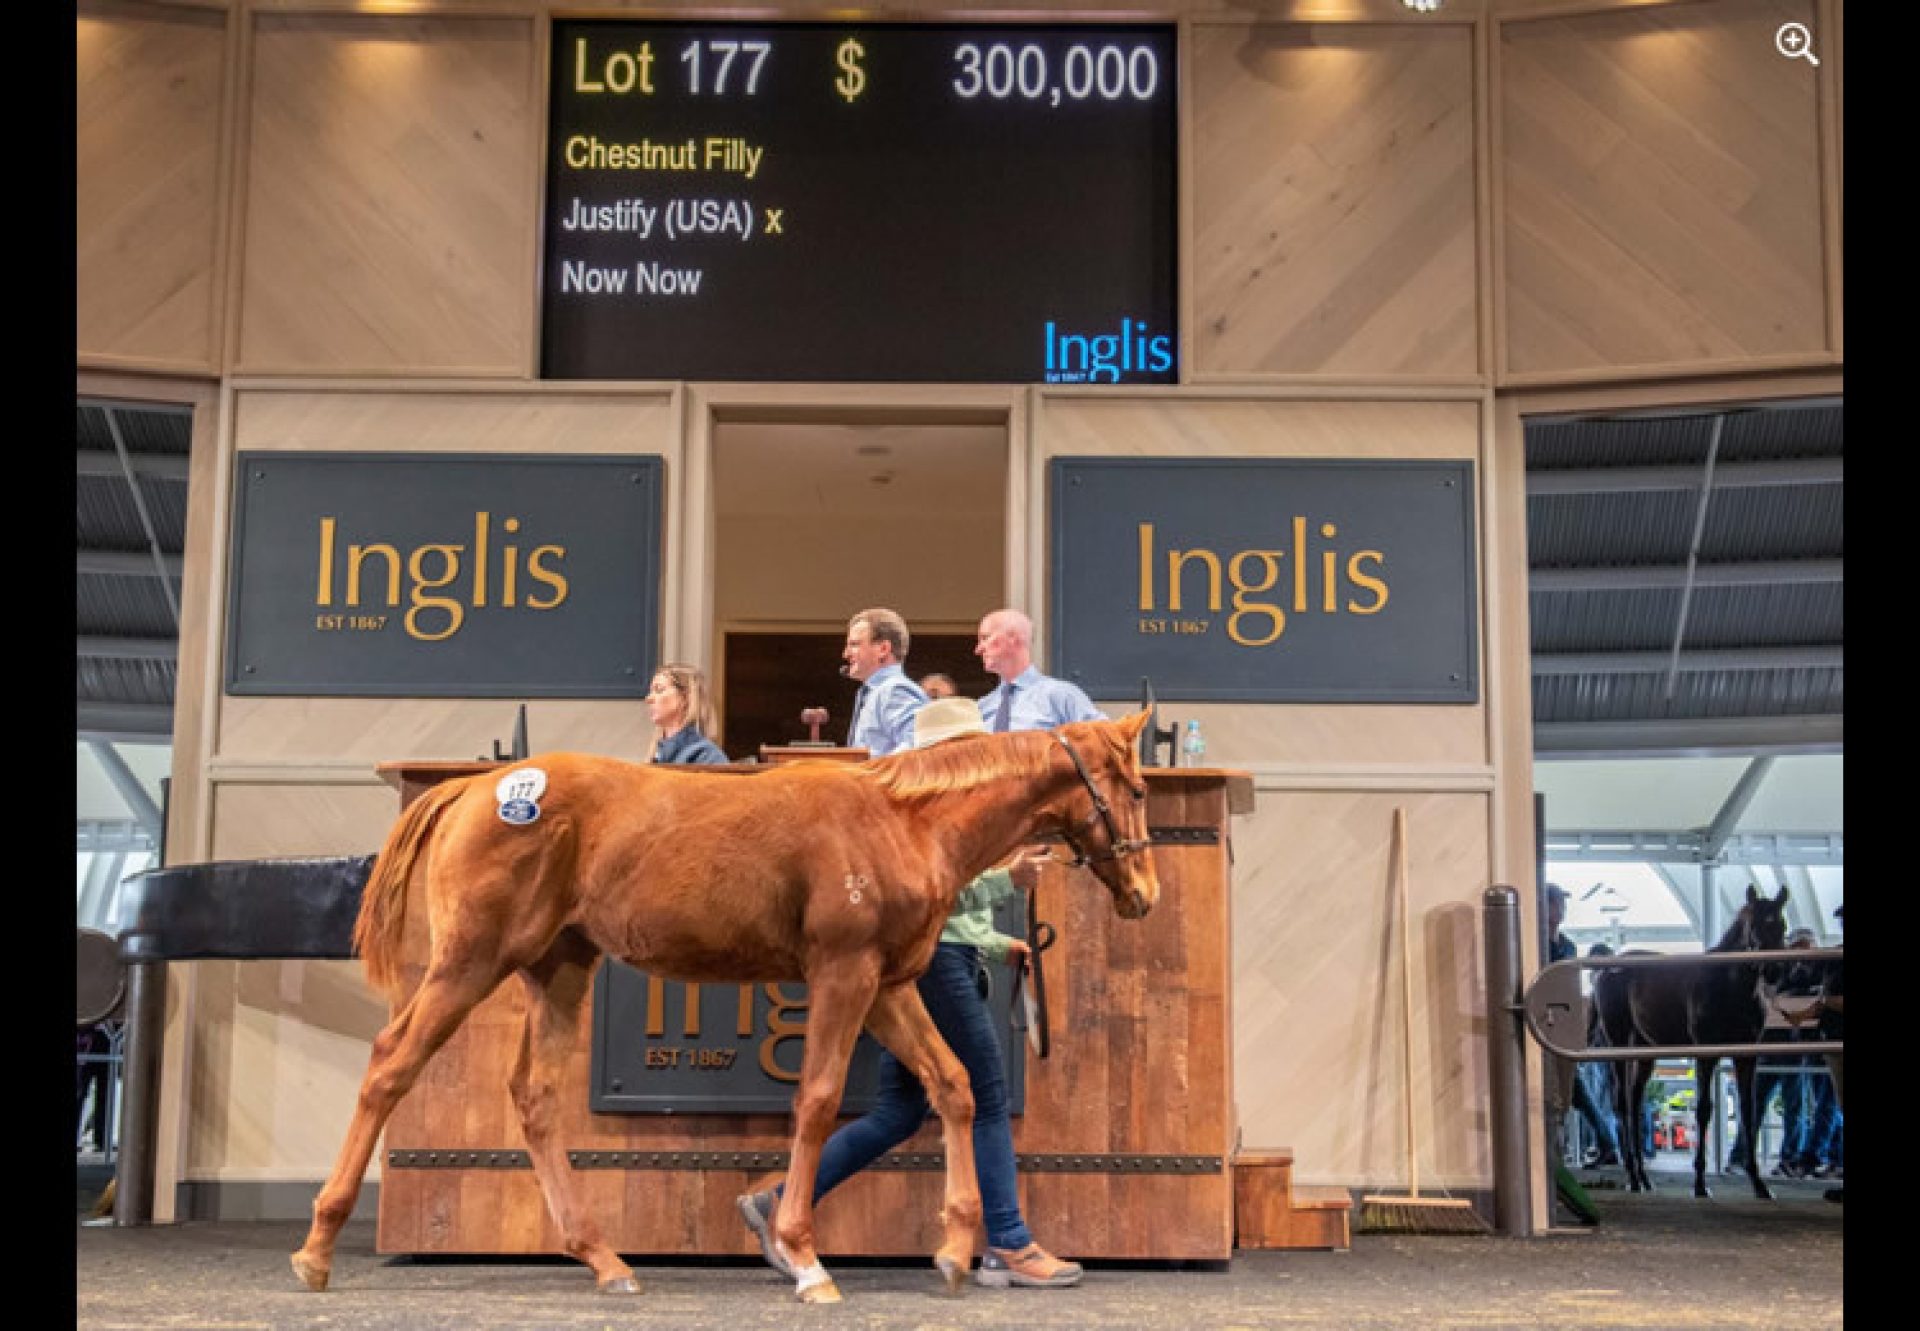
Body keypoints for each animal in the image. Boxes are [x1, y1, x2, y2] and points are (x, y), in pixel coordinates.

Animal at [1589, 887, 1781, 1198]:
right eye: (1755, 925)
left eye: (1781, 925)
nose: (1774, 970)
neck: (1730, 985)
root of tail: (1603, 972)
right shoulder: (1705, 1053)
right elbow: (1703, 1110)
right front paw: (1700, 1183)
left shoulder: (1746, 1056)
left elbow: (1748, 1111)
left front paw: (1758, 1183)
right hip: (1618, 1046)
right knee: (1621, 1103)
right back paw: (1632, 1176)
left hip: (1645, 1052)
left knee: (1635, 1101)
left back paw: (1643, 1177)